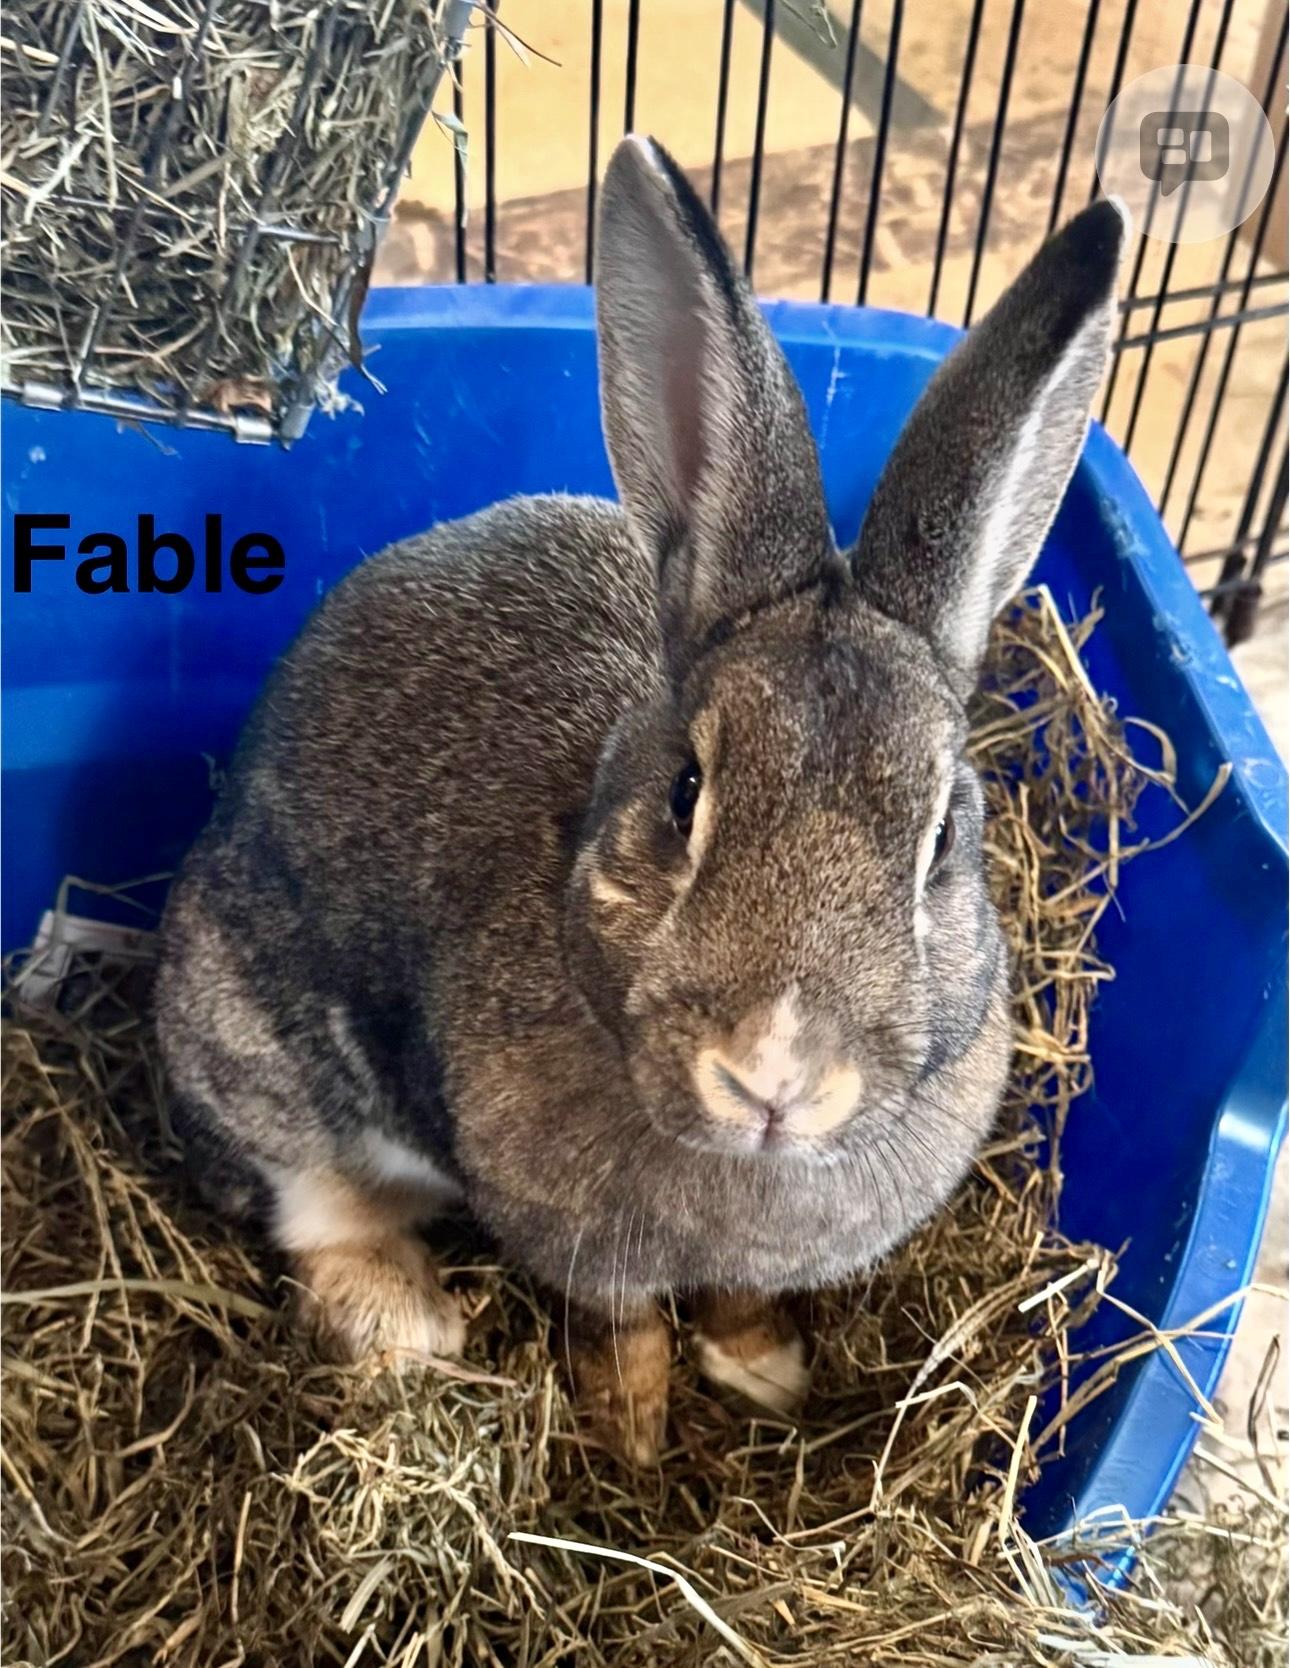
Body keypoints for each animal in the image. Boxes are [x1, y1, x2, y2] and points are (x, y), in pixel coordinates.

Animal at [156, 134, 1126, 1465]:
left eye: (940, 839)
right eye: (685, 794)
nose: (773, 1079)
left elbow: (733, 1300)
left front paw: (767, 1375)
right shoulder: (577, 1241)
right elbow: (623, 1331)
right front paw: (634, 1442)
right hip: (245, 1039)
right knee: (311, 1200)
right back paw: (410, 1328)